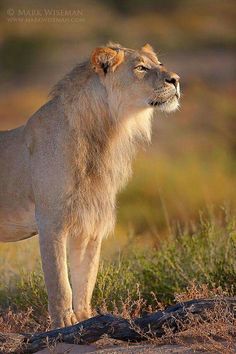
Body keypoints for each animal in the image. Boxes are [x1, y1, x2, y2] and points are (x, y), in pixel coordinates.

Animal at [0, 42, 180, 328]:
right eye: (141, 68)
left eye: (159, 64)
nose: (176, 79)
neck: (104, 135)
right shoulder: (51, 221)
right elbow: (60, 282)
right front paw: (63, 324)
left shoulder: (90, 224)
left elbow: (85, 281)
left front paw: (86, 320)